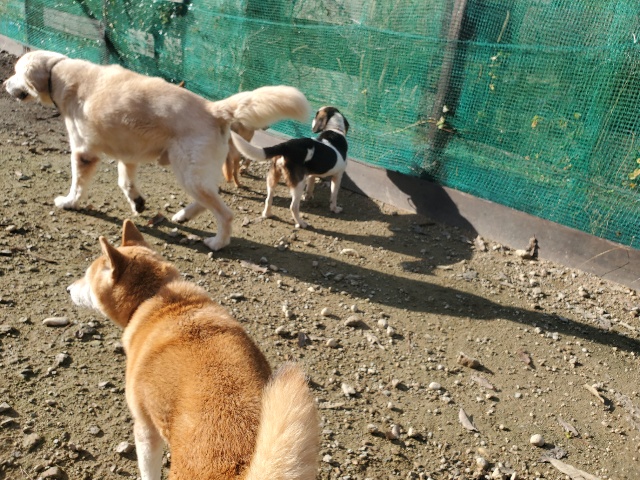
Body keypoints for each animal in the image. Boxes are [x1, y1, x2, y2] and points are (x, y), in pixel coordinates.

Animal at [4, 49, 310, 250]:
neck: (58, 74)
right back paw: (182, 216)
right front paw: (137, 202)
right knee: (209, 198)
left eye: (16, 72)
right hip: (194, 172)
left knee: (224, 213)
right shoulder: (128, 155)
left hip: (187, 172)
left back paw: (217, 242)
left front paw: (69, 202)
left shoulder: (83, 153)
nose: (4, 83)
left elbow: (77, 185)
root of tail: (213, 108)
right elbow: (125, 182)